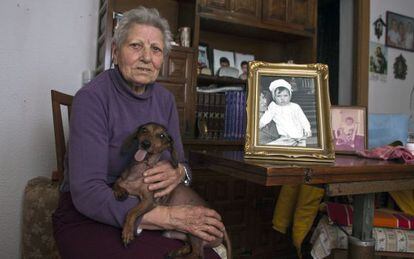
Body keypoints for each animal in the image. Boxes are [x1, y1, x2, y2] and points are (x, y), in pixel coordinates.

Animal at [111, 123, 231, 258]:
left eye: (161, 135)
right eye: (144, 129)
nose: (145, 143)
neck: (139, 170)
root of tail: (222, 226)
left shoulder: (149, 201)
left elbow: (131, 212)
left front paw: (127, 232)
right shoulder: (121, 181)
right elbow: (116, 184)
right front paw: (120, 192)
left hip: (196, 231)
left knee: (198, 254)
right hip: (178, 233)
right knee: (189, 247)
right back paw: (176, 252)